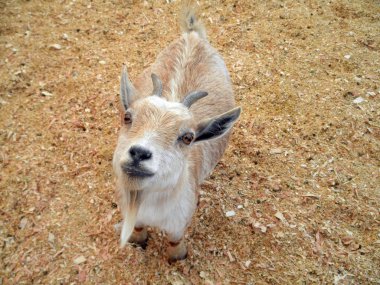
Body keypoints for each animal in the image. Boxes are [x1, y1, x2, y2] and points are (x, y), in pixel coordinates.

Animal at [113, 4, 242, 262]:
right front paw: (138, 241)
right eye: (127, 117)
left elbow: (175, 241)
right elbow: (138, 230)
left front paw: (177, 258)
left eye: (187, 137)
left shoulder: (178, 222)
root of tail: (193, 36)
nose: (139, 153)